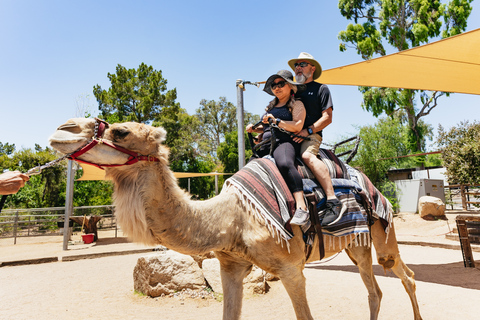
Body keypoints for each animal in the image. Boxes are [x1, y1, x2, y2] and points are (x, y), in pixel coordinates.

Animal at [48, 118, 422, 320]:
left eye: (121, 131)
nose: (63, 129)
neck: (231, 219)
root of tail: (373, 186)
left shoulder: (291, 269)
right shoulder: (231, 265)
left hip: (380, 230)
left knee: (400, 276)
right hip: (354, 245)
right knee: (381, 286)